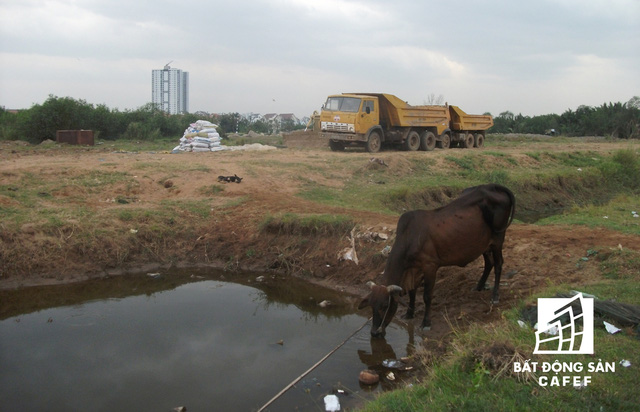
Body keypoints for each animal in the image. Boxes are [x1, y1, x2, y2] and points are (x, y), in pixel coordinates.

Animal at [360, 184, 516, 338]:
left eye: (385, 306)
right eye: (372, 305)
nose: (374, 332)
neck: (410, 237)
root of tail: (494, 186)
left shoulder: (430, 266)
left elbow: (427, 296)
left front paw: (426, 323)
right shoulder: (414, 269)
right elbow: (412, 292)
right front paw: (409, 313)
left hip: (498, 239)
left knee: (498, 265)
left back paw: (495, 296)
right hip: (484, 244)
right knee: (489, 263)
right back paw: (479, 286)